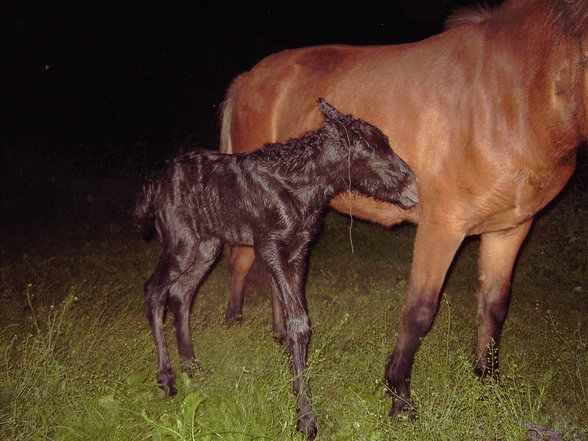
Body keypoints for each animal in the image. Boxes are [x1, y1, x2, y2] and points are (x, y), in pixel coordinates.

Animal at [134, 98, 418, 438]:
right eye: (370, 152)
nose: (414, 189)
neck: (308, 192)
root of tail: (152, 186)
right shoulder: (268, 244)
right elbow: (299, 323)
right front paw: (306, 416)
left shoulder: (299, 250)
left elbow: (292, 314)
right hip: (180, 240)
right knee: (154, 290)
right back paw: (166, 377)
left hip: (207, 245)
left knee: (181, 291)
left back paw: (190, 364)